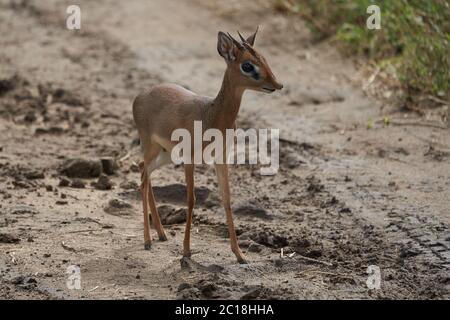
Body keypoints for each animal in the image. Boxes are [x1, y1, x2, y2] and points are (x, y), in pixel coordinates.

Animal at [132, 28, 284, 262]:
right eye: (247, 65)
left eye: (263, 58)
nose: (277, 85)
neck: (211, 115)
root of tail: (140, 96)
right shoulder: (190, 160)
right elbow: (191, 199)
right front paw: (186, 251)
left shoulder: (221, 158)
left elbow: (227, 199)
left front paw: (239, 254)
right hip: (151, 147)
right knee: (142, 178)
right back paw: (148, 240)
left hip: (165, 154)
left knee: (144, 172)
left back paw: (162, 234)